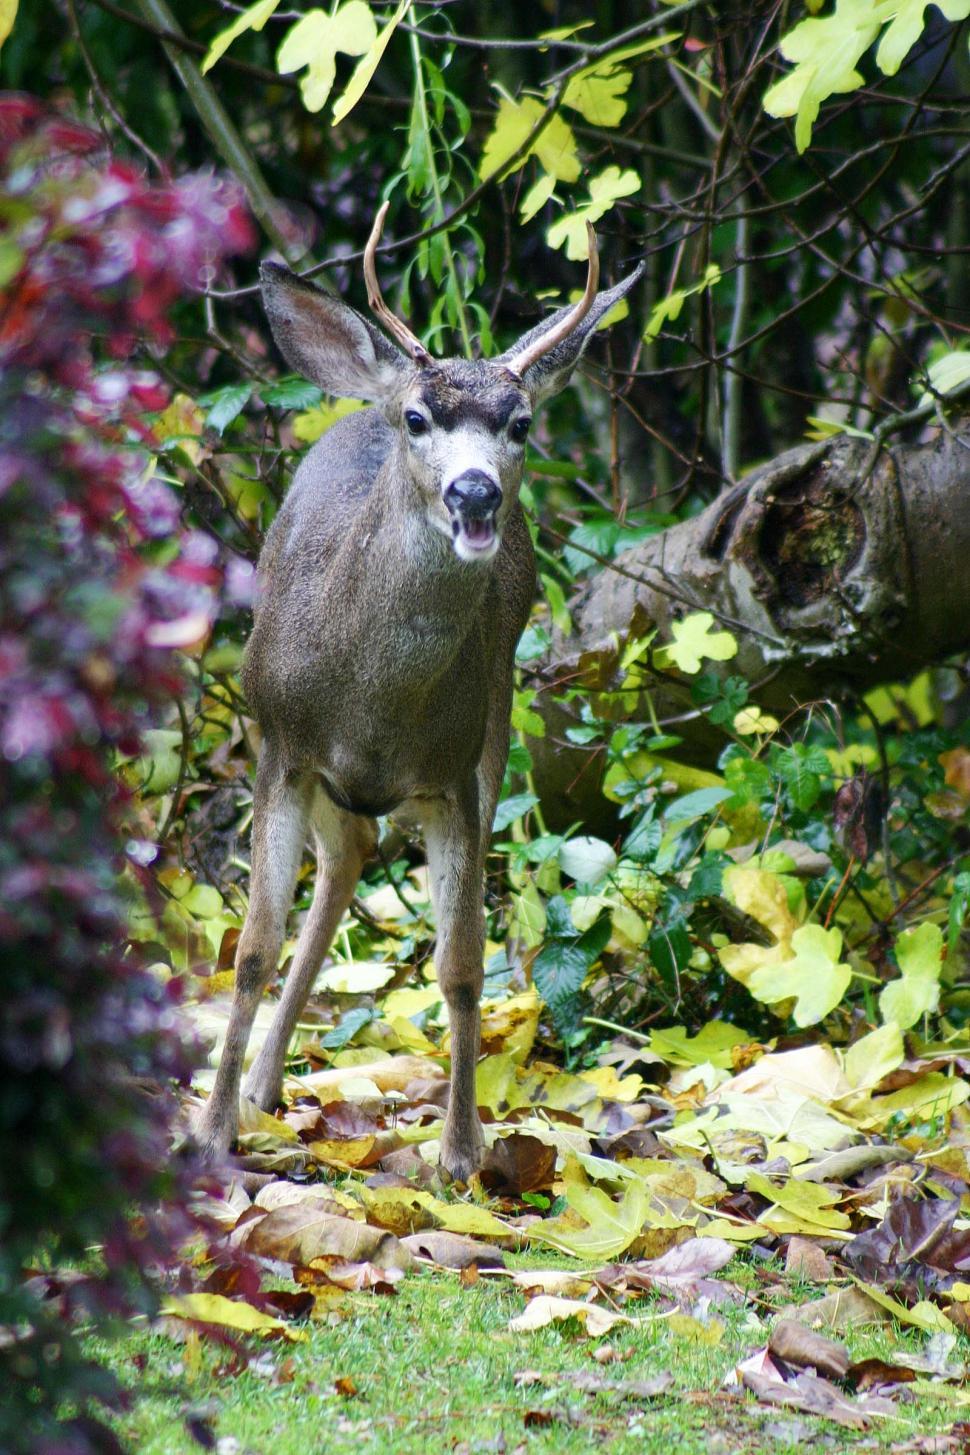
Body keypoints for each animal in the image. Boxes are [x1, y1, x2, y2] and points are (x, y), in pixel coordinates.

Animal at [194, 209, 643, 1181]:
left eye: (520, 422)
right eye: (419, 417)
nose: (473, 491)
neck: (373, 707)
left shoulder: (456, 772)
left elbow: (463, 965)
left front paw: (463, 1153)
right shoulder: (283, 745)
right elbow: (250, 949)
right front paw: (206, 1135)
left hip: (500, 717)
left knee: (354, 854)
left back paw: (266, 1083)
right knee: (343, 858)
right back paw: (255, 1088)